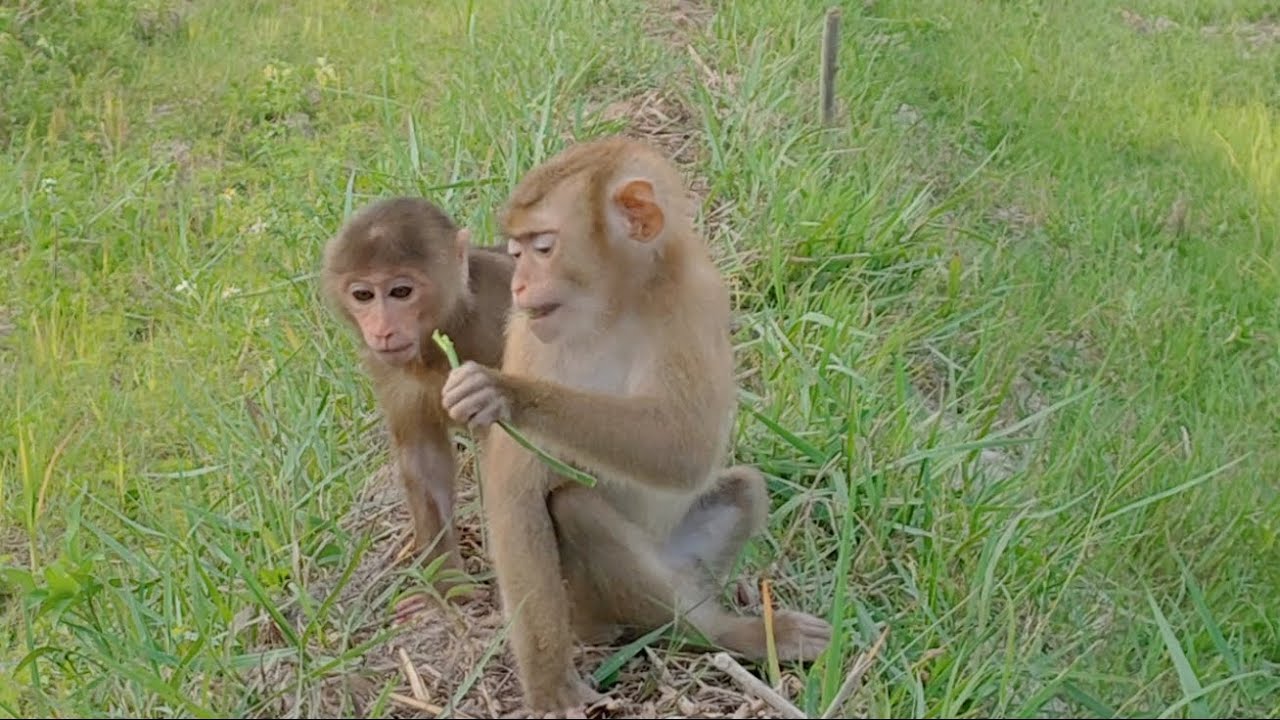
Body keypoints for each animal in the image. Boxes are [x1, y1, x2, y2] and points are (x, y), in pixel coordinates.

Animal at [321, 196, 515, 589]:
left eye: (401, 292)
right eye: (363, 295)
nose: (382, 330)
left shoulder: (502, 302)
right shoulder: (383, 365)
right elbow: (424, 460)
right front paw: (451, 588)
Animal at [440, 136, 833, 714]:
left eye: (542, 247)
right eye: (516, 253)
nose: (519, 284)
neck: (613, 309)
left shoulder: (694, 300)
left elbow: (687, 447)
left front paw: (504, 393)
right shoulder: (532, 336)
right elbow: (518, 494)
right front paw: (549, 684)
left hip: (682, 553)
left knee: (742, 489)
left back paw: (722, 629)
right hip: (588, 605)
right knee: (575, 509)